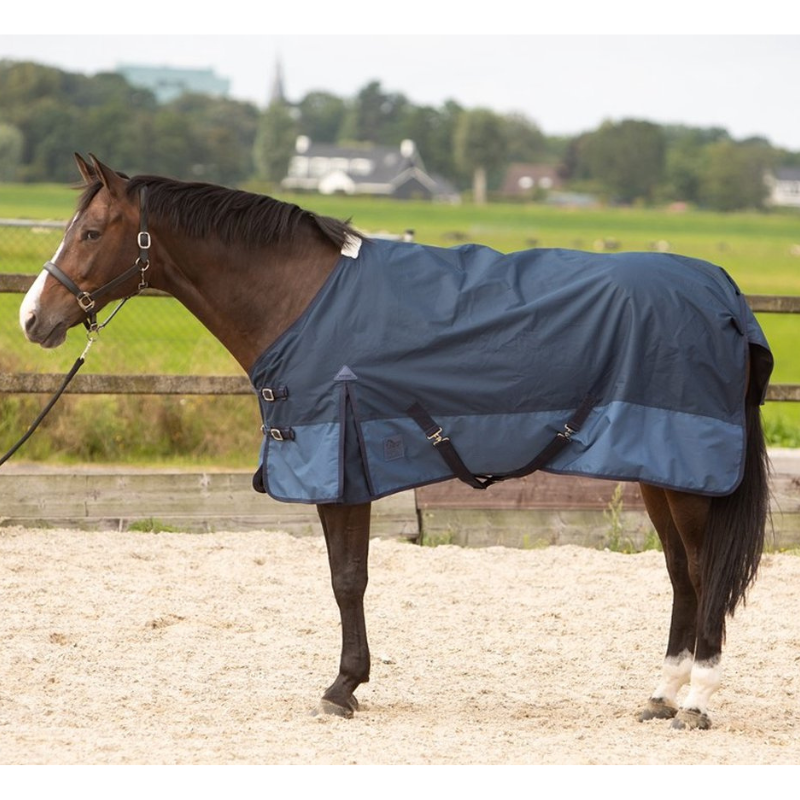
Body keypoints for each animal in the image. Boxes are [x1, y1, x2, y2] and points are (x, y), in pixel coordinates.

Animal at [19, 154, 773, 730]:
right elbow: (344, 575)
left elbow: (347, 579)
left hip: (686, 475)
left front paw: (342, 687)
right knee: (681, 575)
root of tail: (725, 296)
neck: (302, 299)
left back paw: (696, 702)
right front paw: (347, 684)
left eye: (90, 232)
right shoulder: (341, 467)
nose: (32, 318)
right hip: (658, 472)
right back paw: (662, 695)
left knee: (703, 572)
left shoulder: (338, 464)